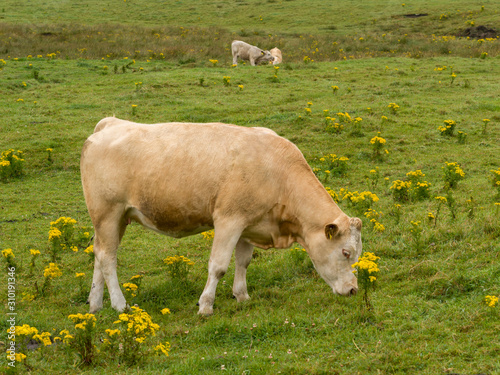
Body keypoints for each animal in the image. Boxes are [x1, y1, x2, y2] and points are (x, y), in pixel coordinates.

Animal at [81, 117, 364, 318]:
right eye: (346, 252)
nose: (353, 289)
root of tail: (111, 123)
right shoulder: (229, 220)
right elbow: (218, 266)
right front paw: (205, 306)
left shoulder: (249, 223)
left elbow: (243, 261)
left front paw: (242, 296)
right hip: (108, 212)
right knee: (108, 258)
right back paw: (120, 304)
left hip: (115, 218)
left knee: (100, 254)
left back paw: (95, 304)